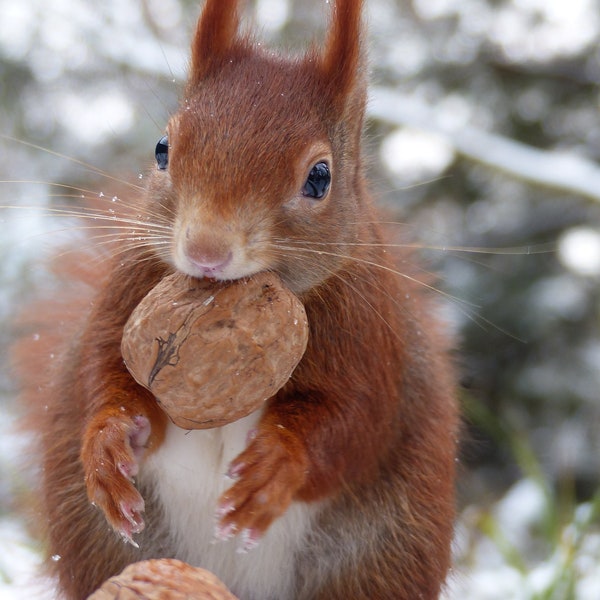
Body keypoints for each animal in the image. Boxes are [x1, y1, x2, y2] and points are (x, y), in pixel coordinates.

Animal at [16, 1, 458, 600]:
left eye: (320, 178)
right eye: (162, 149)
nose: (206, 250)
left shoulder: (371, 338)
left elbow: (359, 422)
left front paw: (277, 465)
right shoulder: (126, 293)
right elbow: (104, 370)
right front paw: (109, 442)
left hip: (377, 560)